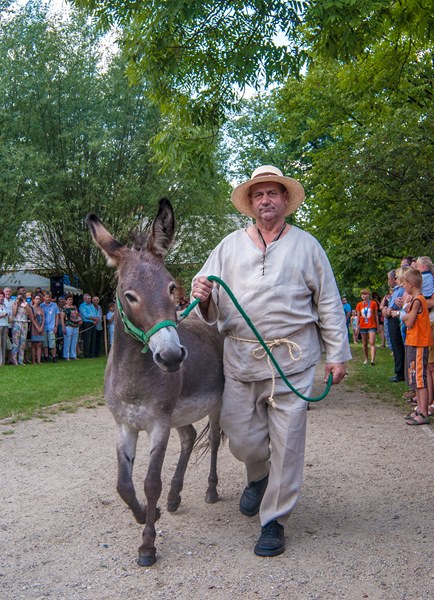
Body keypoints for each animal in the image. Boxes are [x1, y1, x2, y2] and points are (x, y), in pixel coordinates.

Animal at [86, 198, 224, 567]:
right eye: (129, 295)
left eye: (172, 287)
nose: (172, 357)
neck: (135, 375)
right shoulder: (125, 424)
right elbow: (123, 485)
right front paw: (148, 514)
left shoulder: (158, 423)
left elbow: (150, 482)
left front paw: (147, 545)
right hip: (179, 413)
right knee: (189, 437)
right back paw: (175, 497)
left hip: (217, 404)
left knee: (213, 441)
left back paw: (211, 490)